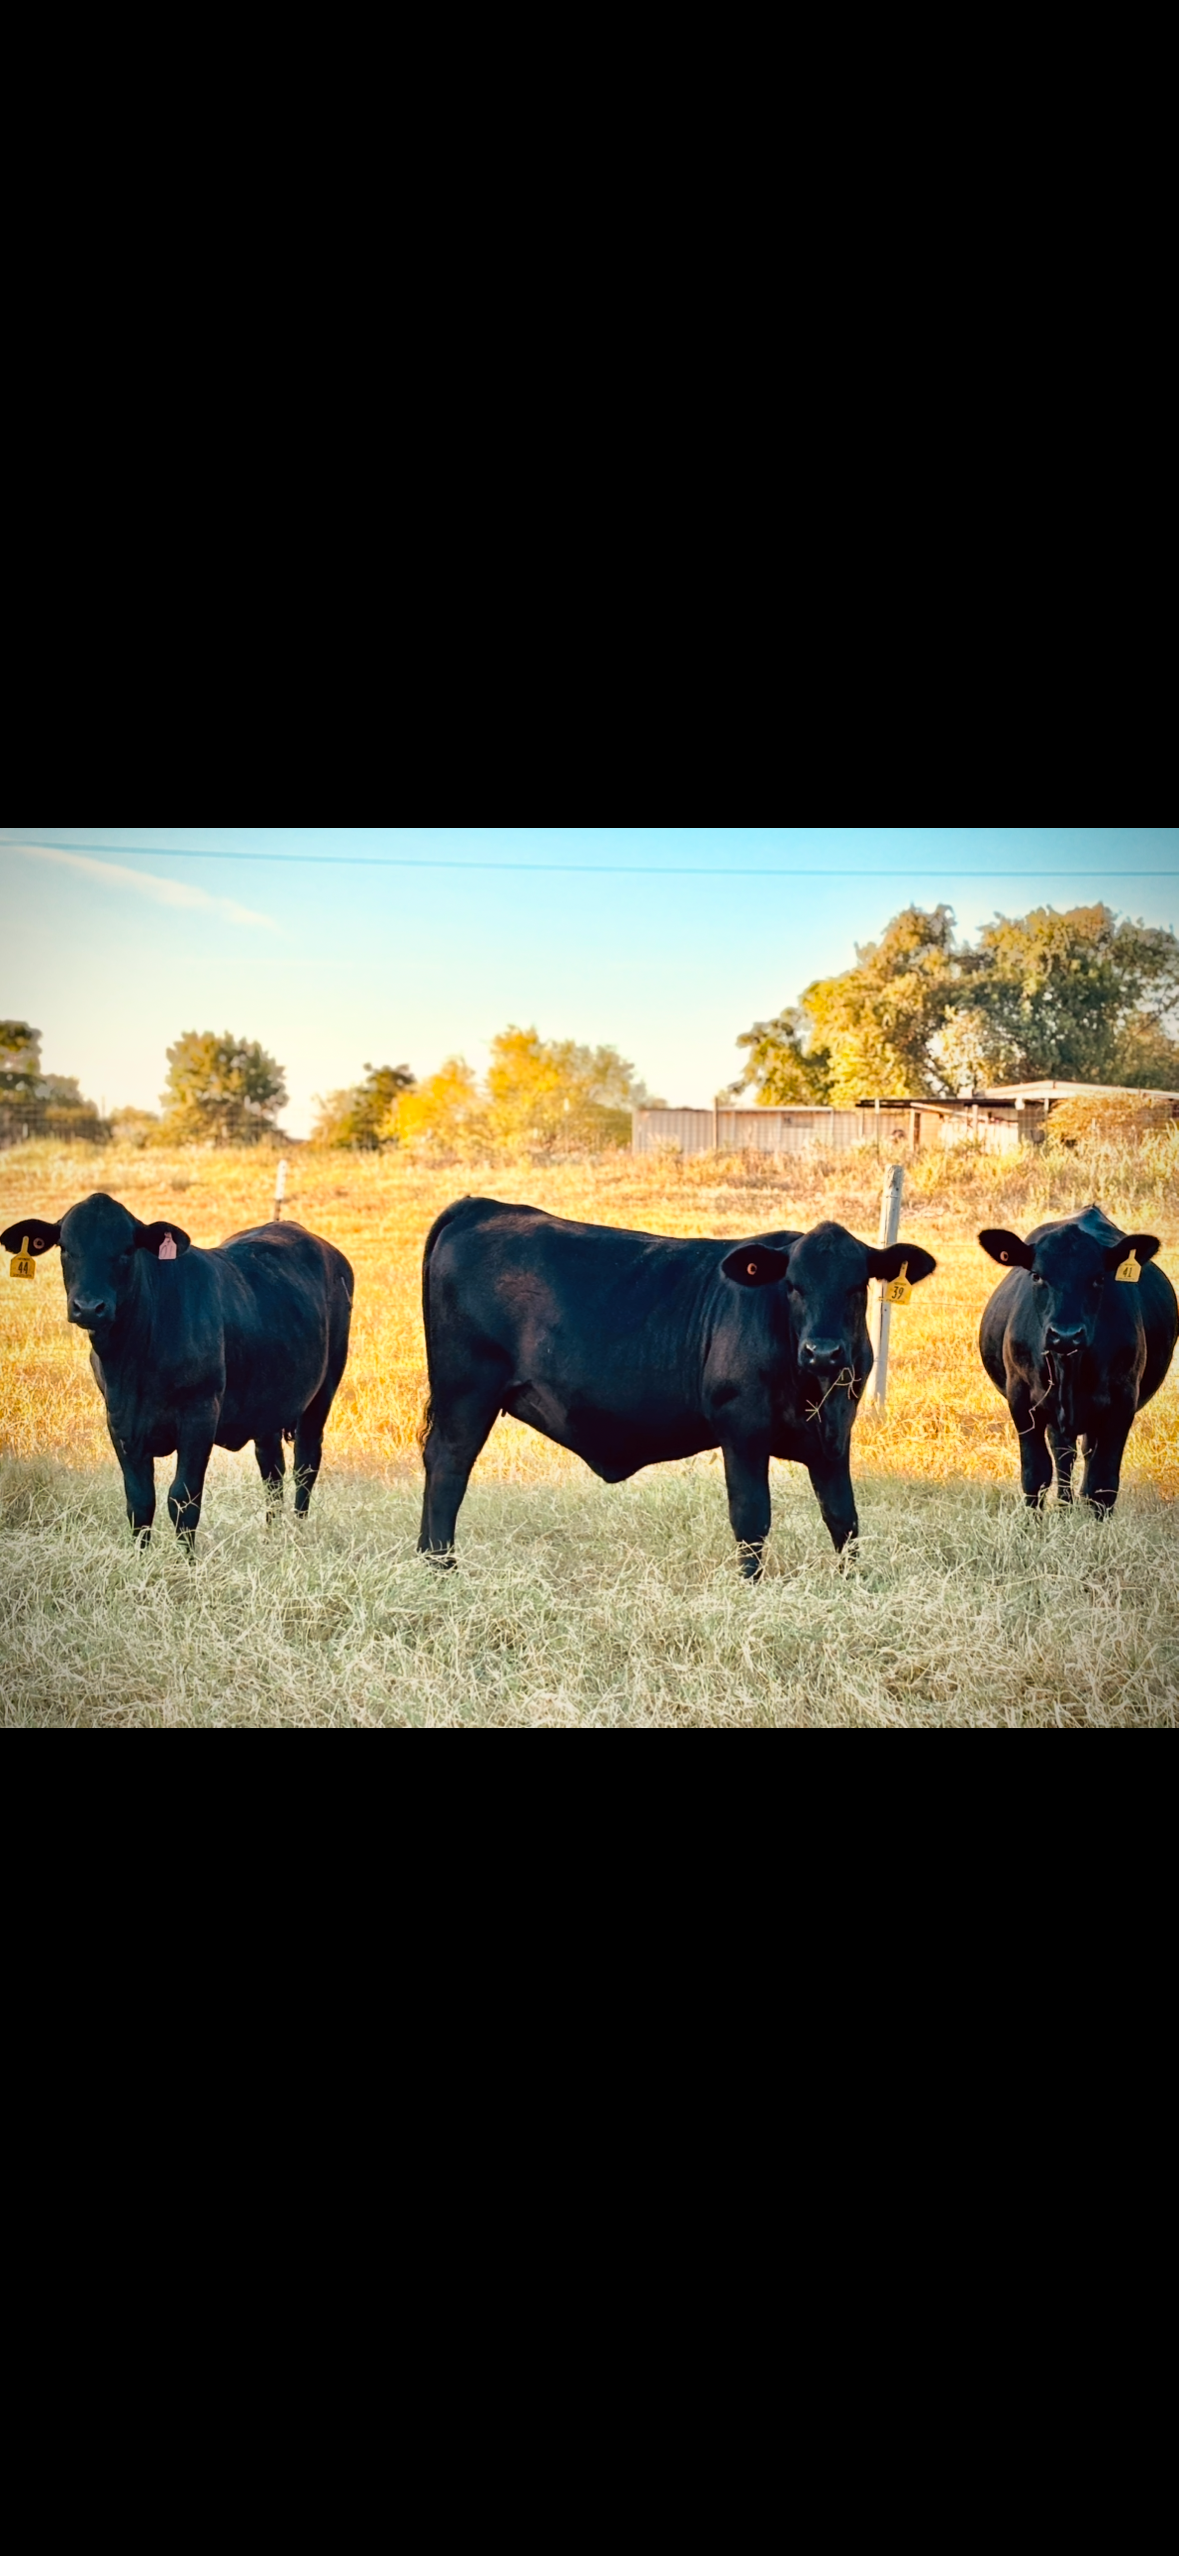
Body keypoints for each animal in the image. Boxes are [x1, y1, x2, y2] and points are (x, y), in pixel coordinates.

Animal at [1, 1192, 353, 1547]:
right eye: (65, 1248)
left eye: (127, 1249)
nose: (89, 1307)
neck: (134, 1362)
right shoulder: (119, 1422)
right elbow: (140, 1502)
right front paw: (141, 1558)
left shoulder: (200, 1416)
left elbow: (183, 1498)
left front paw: (186, 1560)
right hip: (267, 1404)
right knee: (272, 1470)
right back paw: (271, 1535)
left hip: (323, 1392)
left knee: (305, 1464)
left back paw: (297, 1534)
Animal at [418, 1197, 936, 1574]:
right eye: (793, 1285)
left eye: (857, 1286)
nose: (823, 1352)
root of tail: (483, 1206)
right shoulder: (742, 1429)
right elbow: (752, 1519)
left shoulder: (835, 1436)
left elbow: (843, 1518)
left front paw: (854, 1583)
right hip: (466, 1393)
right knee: (448, 1467)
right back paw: (441, 1566)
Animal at [977, 1206, 1177, 1515]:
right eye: (1037, 1275)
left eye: (1099, 1277)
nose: (1066, 1334)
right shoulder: (1020, 1398)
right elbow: (1035, 1474)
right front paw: (1033, 1523)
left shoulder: (1122, 1400)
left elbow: (1103, 1481)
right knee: (1064, 1453)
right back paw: (1064, 1506)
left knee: (1083, 1454)